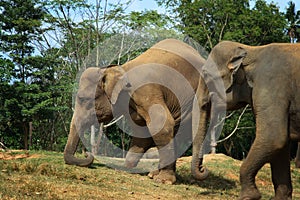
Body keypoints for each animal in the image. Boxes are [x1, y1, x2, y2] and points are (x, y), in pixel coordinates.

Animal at [63, 38, 209, 184]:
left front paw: (163, 181)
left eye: (82, 99)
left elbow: (162, 124)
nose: (87, 154)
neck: (120, 70)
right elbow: (142, 133)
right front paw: (124, 169)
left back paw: (159, 177)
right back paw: (153, 174)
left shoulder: (146, 92)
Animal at [193, 41, 300, 200]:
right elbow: (281, 144)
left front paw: (249, 196)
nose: (203, 168)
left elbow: (274, 138)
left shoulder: (271, 87)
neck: (251, 50)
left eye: (206, 75)